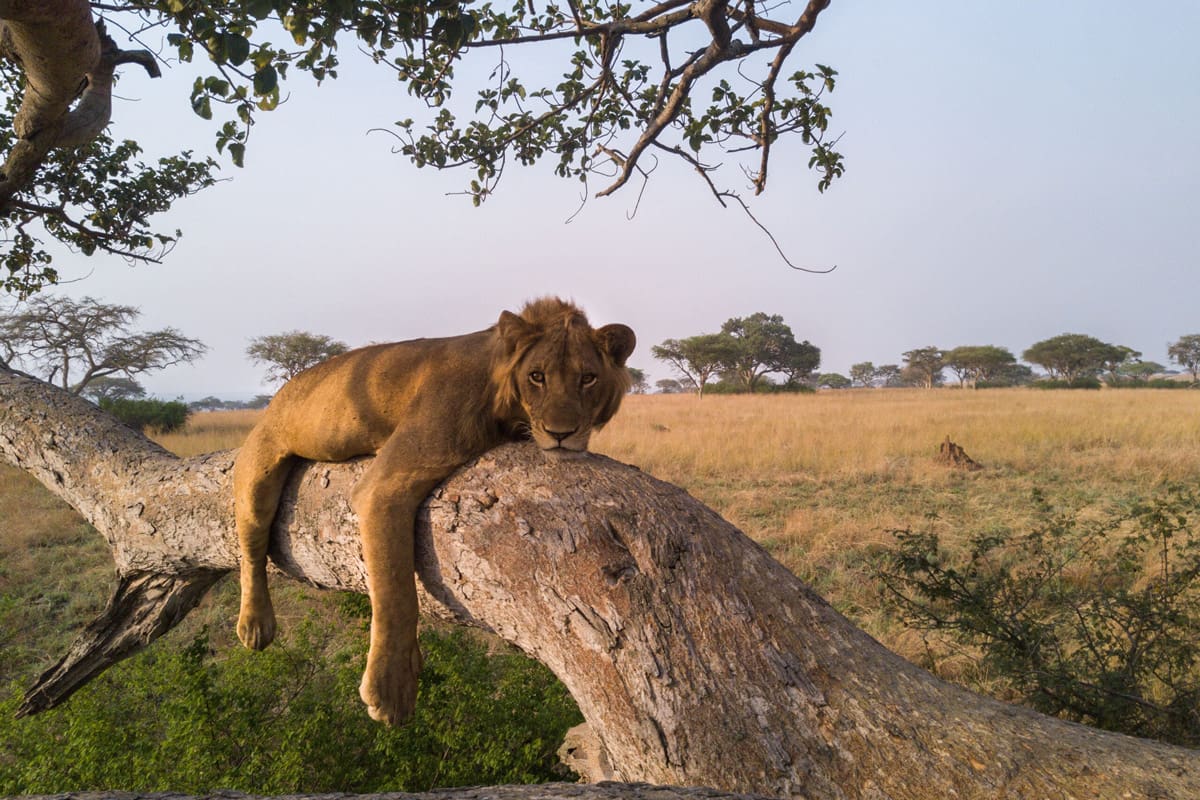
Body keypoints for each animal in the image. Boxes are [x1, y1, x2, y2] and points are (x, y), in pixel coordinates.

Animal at [233, 297, 636, 725]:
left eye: (588, 378)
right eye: (537, 376)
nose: (561, 433)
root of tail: (284, 390)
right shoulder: (384, 484)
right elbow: (396, 591)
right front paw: (391, 687)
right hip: (259, 467)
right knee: (251, 547)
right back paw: (255, 625)